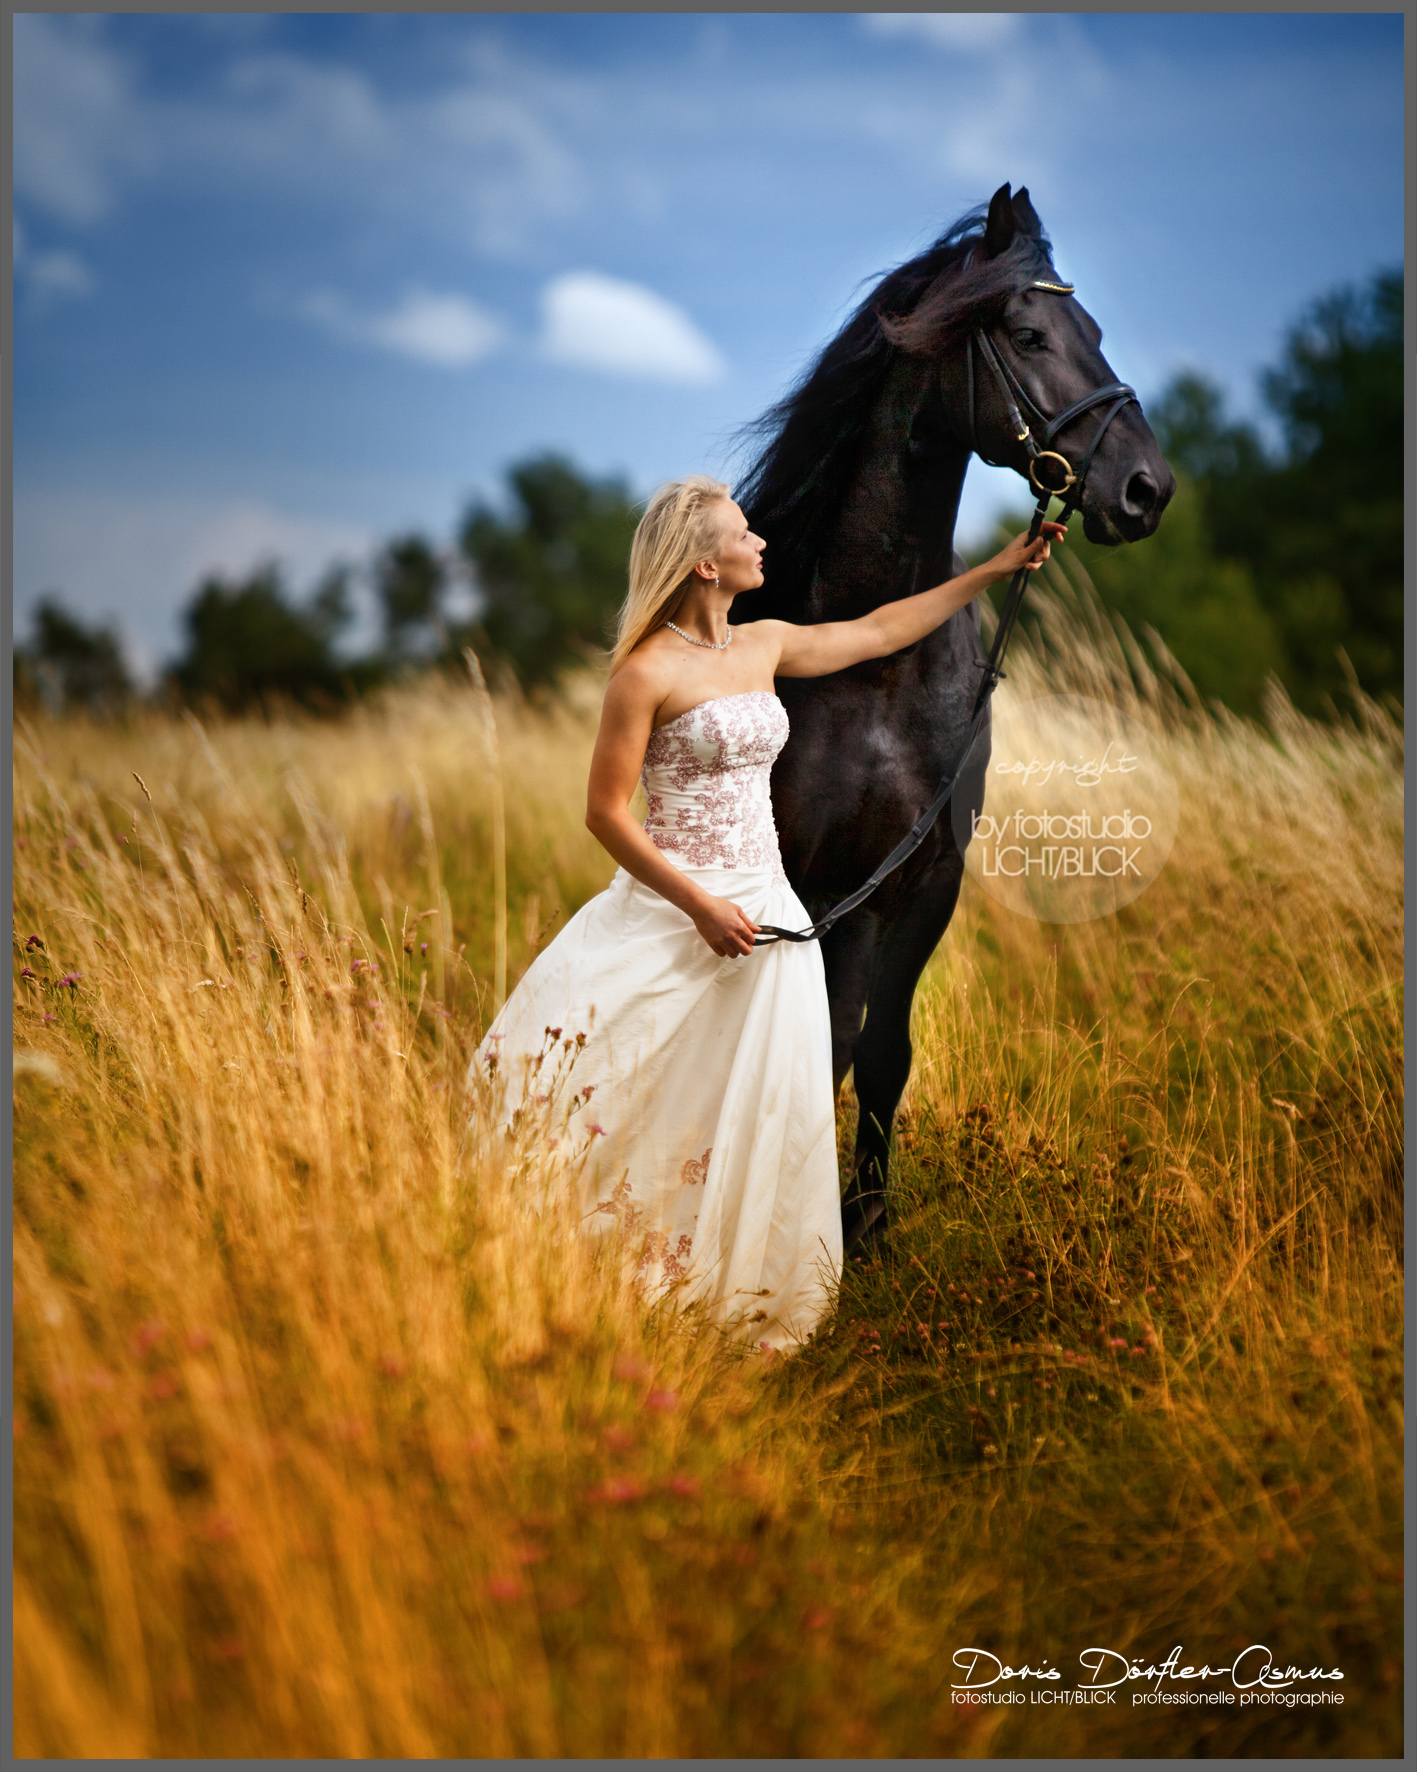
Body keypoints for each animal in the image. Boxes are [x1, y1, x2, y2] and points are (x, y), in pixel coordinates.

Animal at [729, 186, 1176, 1254]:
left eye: (1096, 334)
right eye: (1028, 334)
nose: (1146, 489)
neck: (869, 658)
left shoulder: (921, 881)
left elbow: (879, 1050)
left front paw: (866, 1227)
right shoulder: (811, 879)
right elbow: (821, 1045)